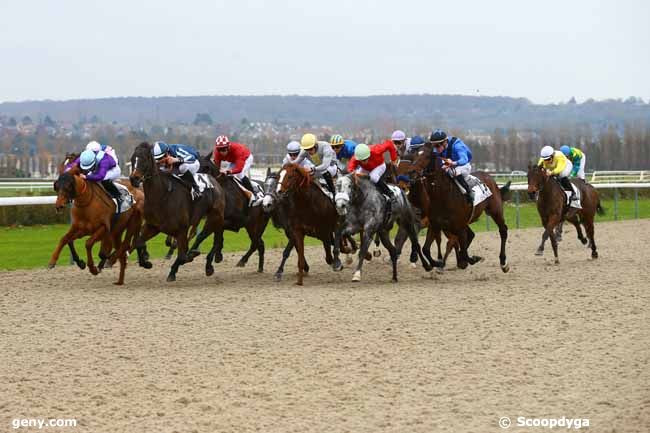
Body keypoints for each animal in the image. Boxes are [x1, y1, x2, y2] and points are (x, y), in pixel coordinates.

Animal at [129, 142, 225, 282]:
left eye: (145, 159)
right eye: (132, 159)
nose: (133, 179)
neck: (161, 196)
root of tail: (214, 182)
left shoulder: (181, 230)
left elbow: (182, 255)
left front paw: (180, 264)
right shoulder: (152, 226)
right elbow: (139, 243)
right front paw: (146, 263)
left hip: (214, 218)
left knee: (212, 238)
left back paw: (208, 265)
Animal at [410, 145, 512, 274]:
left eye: (427, 156)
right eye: (414, 155)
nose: (412, 172)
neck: (443, 195)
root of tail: (489, 177)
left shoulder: (459, 227)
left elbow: (463, 250)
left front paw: (472, 259)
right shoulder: (435, 225)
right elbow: (426, 249)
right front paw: (437, 264)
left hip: (495, 211)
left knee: (503, 230)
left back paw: (504, 263)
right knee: (470, 236)